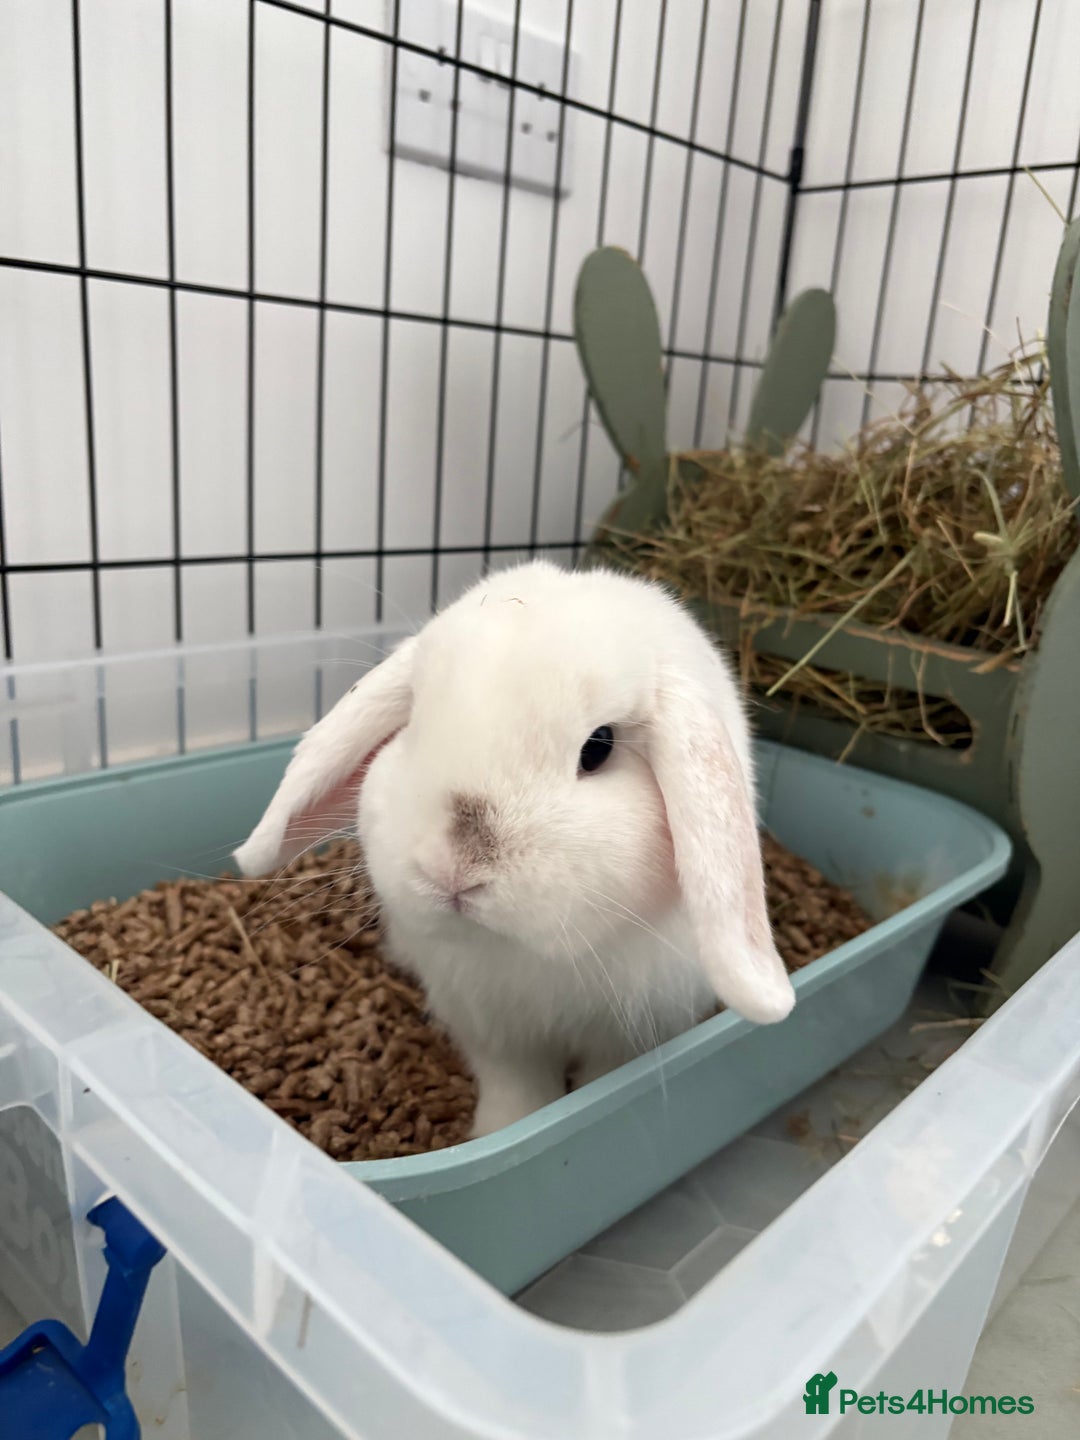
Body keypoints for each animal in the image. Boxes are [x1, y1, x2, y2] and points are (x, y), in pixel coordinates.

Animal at [235, 560, 795, 1137]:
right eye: (413, 724)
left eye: (599, 747)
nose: (452, 870)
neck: (533, 957)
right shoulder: (492, 1031)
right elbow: (517, 1088)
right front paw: (499, 1129)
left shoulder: (630, 1034)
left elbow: (600, 1081)